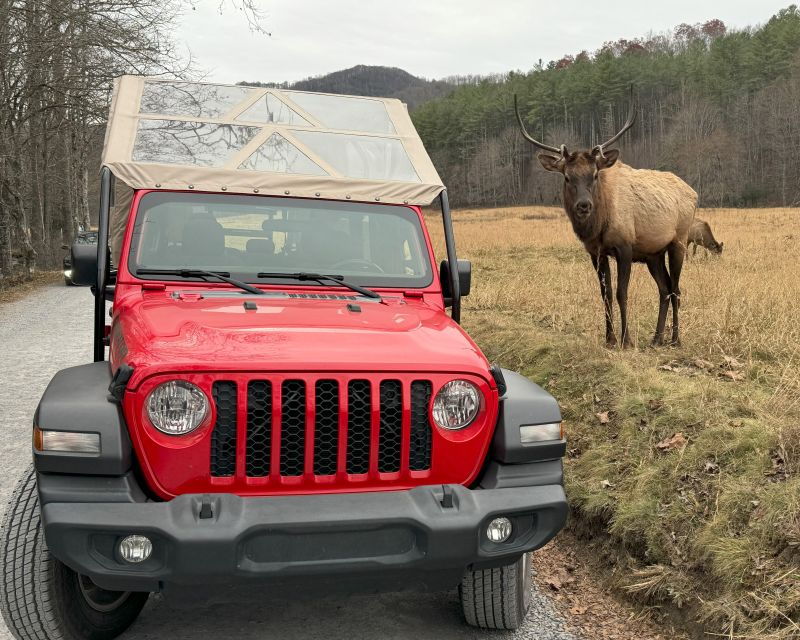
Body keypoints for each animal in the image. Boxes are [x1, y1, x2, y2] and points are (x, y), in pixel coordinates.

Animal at [514, 88, 697, 347]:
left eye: (594, 174)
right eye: (567, 177)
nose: (583, 205)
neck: (598, 226)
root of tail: (694, 193)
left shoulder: (625, 246)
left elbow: (622, 292)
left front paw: (626, 340)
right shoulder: (596, 252)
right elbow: (606, 294)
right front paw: (609, 339)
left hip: (679, 240)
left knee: (677, 289)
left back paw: (675, 339)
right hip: (653, 253)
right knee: (664, 288)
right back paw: (656, 338)